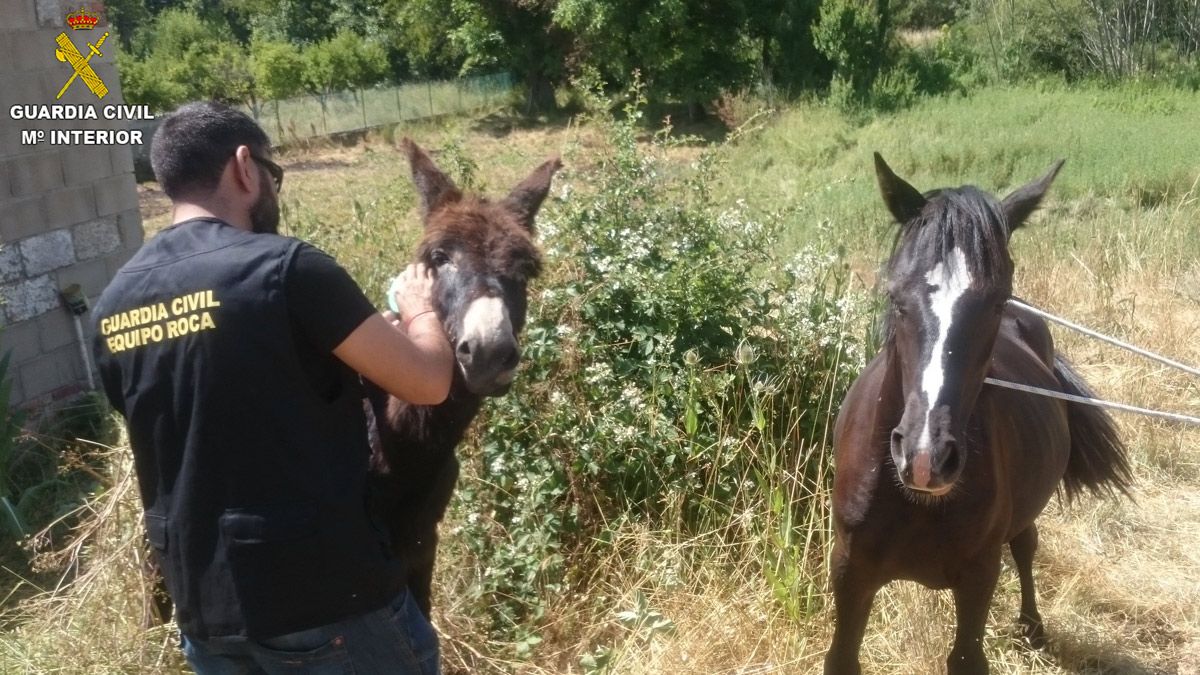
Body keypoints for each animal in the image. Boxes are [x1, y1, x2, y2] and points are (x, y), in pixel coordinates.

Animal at [830, 153, 1128, 672]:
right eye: (896, 298)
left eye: (996, 301)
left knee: (1026, 547)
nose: (926, 457)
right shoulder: (850, 573)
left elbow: (968, 656)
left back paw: (1032, 627)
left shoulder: (978, 577)